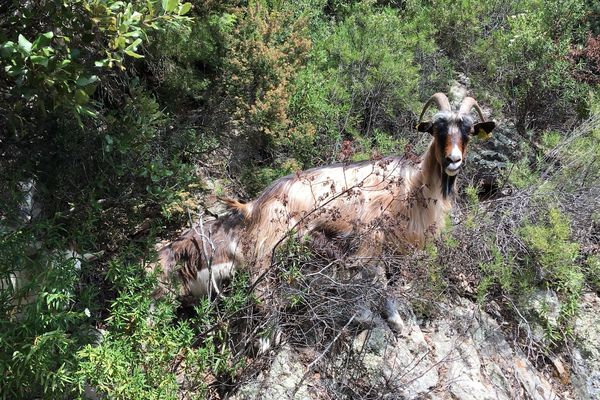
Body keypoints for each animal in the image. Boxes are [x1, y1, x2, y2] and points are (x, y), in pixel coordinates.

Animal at [156, 93, 496, 328]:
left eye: (468, 131)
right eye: (437, 129)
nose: (453, 160)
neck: (413, 184)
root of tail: (255, 204)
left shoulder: (395, 247)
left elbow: (391, 282)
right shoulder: (371, 239)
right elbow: (377, 281)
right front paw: (382, 319)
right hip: (268, 250)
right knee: (261, 293)